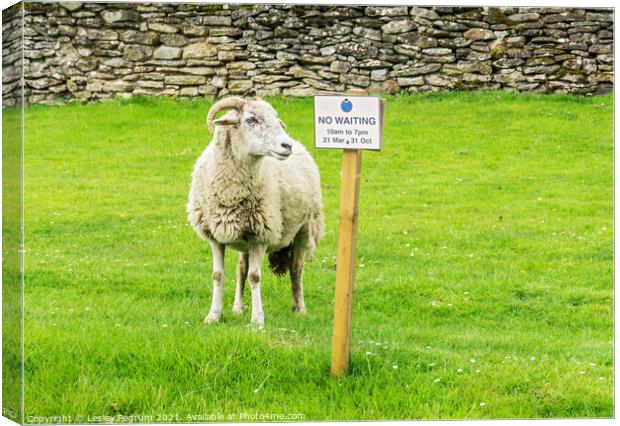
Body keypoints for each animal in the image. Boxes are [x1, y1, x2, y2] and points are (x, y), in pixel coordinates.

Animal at [188, 96, 324, 328]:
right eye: (251, 119)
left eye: (276, 118)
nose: (286, 145)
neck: (230, 194)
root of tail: (300, 144)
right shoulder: (215, 236)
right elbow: (218, 275)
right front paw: (213, 315)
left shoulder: (260, 236)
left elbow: (255, 277)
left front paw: (258, 320)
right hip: (245, 239)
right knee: (241, 269)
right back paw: (238, 307)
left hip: (304, 230)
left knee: (296, 269)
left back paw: (299, 308)